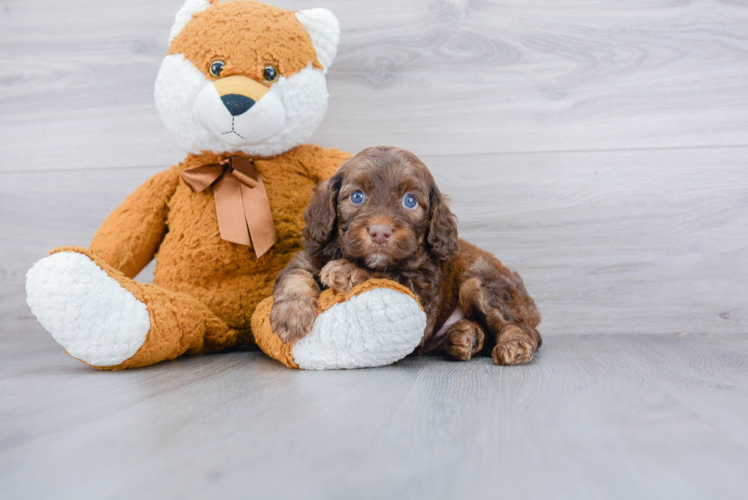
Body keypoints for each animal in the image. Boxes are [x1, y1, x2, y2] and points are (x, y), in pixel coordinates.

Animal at [272, 145, 540, 364]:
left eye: (410, 201)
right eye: (357, 196)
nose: (380, 232)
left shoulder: (423, 292)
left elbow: (389, 274)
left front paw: (347, 270)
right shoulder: (309, 257)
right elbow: (294, 275)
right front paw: (291, 316)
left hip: (482, 283)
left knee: (522, 327)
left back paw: (514, 344)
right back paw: (465, 337)